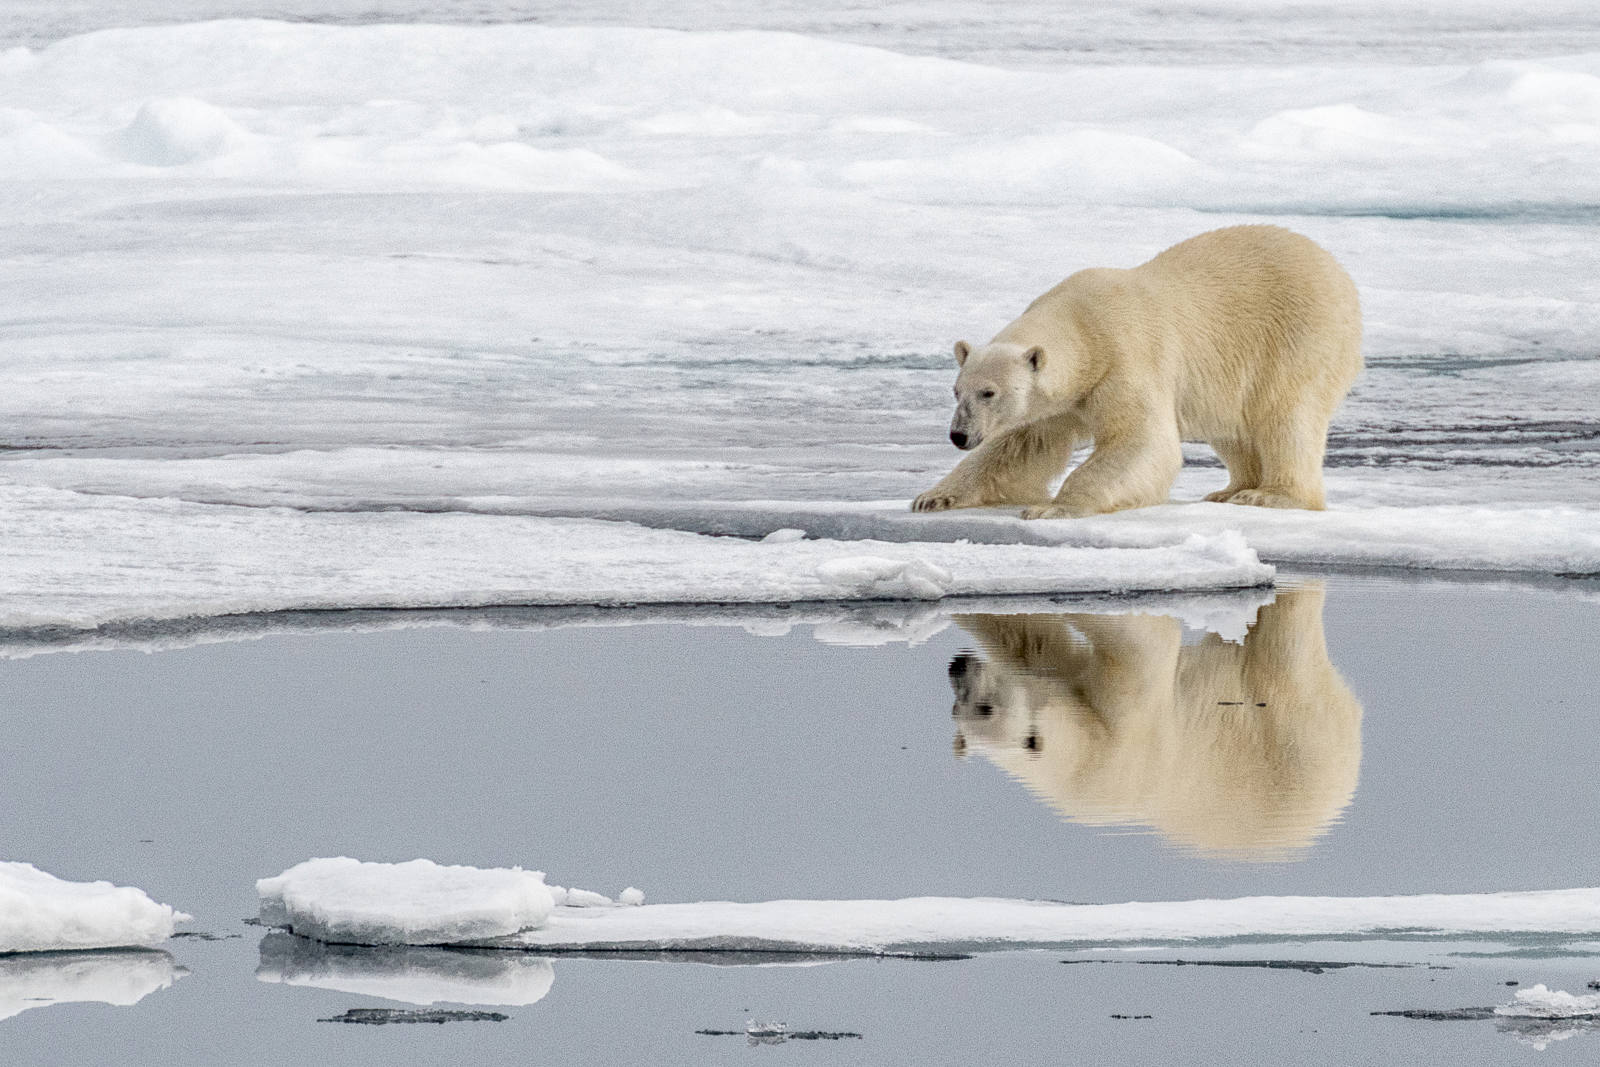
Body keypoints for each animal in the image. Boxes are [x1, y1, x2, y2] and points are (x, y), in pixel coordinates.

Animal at [912, 225, 1362, 518]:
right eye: (957, 391)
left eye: (989, 392)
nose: (959, 435)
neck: (1083, 324)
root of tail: (1339, 272)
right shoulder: (1062, 400)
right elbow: (1020, 446)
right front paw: (933, 498)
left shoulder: (1124, 358)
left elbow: (1141, 438)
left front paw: (1052, 508)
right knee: (1233, 427)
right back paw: (1229, 490)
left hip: (1295, 338)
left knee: (1285, 415)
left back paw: (1269, 495)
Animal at [945, 585, 1362, 858]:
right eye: (957, 709)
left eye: (985, 707)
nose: (957, 665)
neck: (1084, 756)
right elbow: (1036, 643)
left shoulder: (1121, 733)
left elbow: (1143, 639)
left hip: (1293, 734)